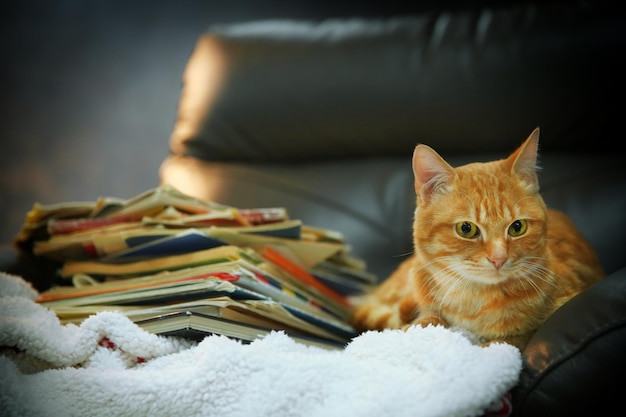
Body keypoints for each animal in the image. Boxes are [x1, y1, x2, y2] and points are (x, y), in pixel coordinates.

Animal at [348, 128, 604, 350]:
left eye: (517, 227)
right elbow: (425, 322)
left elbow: (509, 341)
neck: (474, 302)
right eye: (466, 229)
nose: (499, 259)